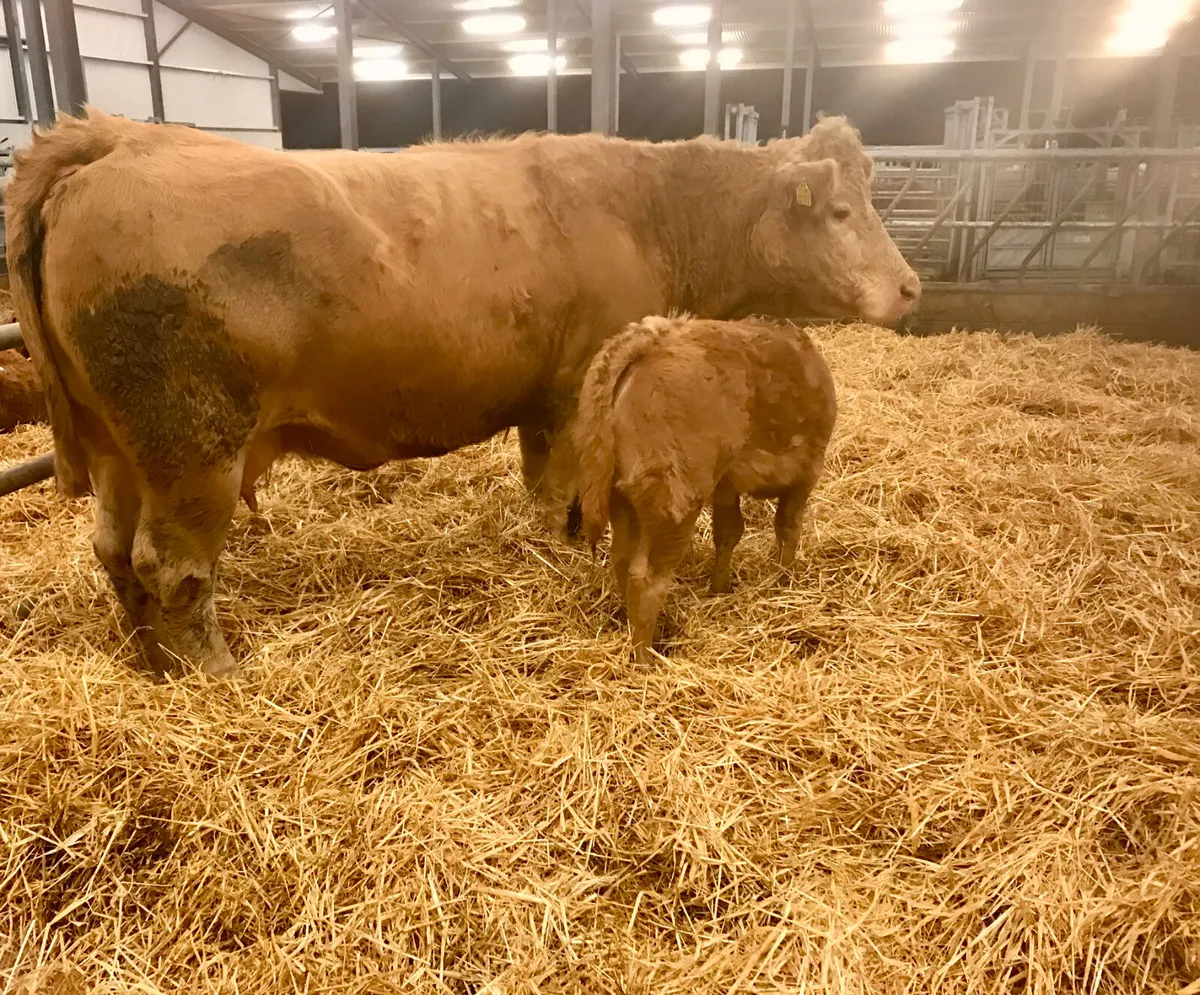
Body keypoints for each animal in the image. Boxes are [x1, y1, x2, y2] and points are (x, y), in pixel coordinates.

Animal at [565, 315, 836, 663]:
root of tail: (654, 339)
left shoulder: (726, 486)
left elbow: (729, 532)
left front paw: (720, 587)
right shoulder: (806, 473)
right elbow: (788, 528)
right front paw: (785, 581)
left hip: (621, 496)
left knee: (622, 560)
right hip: (674, 501)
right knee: (647, 580)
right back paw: (645, 659)